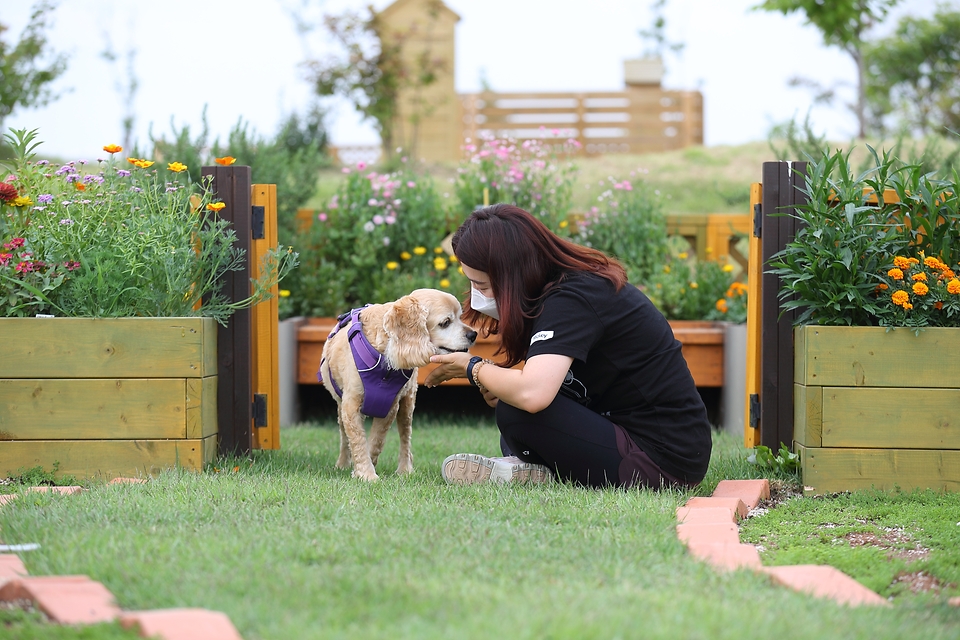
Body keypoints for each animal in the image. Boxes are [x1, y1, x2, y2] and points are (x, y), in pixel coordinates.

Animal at [318, 290, 476, 480]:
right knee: (344, 436)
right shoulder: (350, 406)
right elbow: (357, 440)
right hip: (341, 408)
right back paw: (342, 464)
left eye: (460, 317)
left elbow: (376, 441)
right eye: (445, 322)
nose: (473, 334)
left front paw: (364, 470)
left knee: (405, 437)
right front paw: (366, 474)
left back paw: (405, 469)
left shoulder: (390, 406)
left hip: (407, 404)